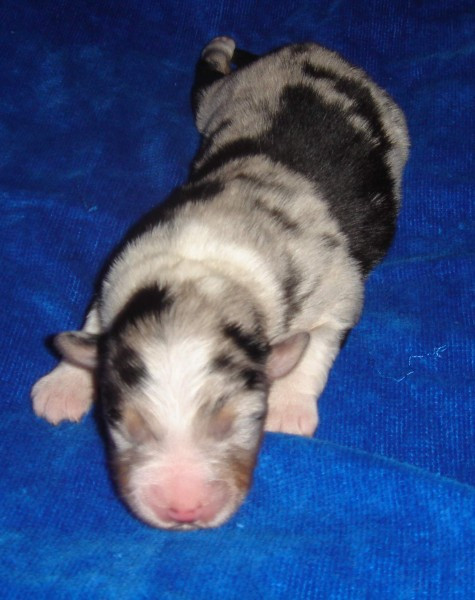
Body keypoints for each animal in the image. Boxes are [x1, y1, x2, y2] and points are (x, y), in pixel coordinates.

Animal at [31, 37, 409, 529]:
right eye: (126, 426)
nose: (183, 510)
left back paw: (223, 46)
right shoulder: (118, 272)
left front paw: (289, 405)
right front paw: (62, 384)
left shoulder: (338, 290)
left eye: (238, 423)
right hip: (217, 100)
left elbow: (318, 342)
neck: (201, 275)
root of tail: (307, 49)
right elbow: (93, 322)